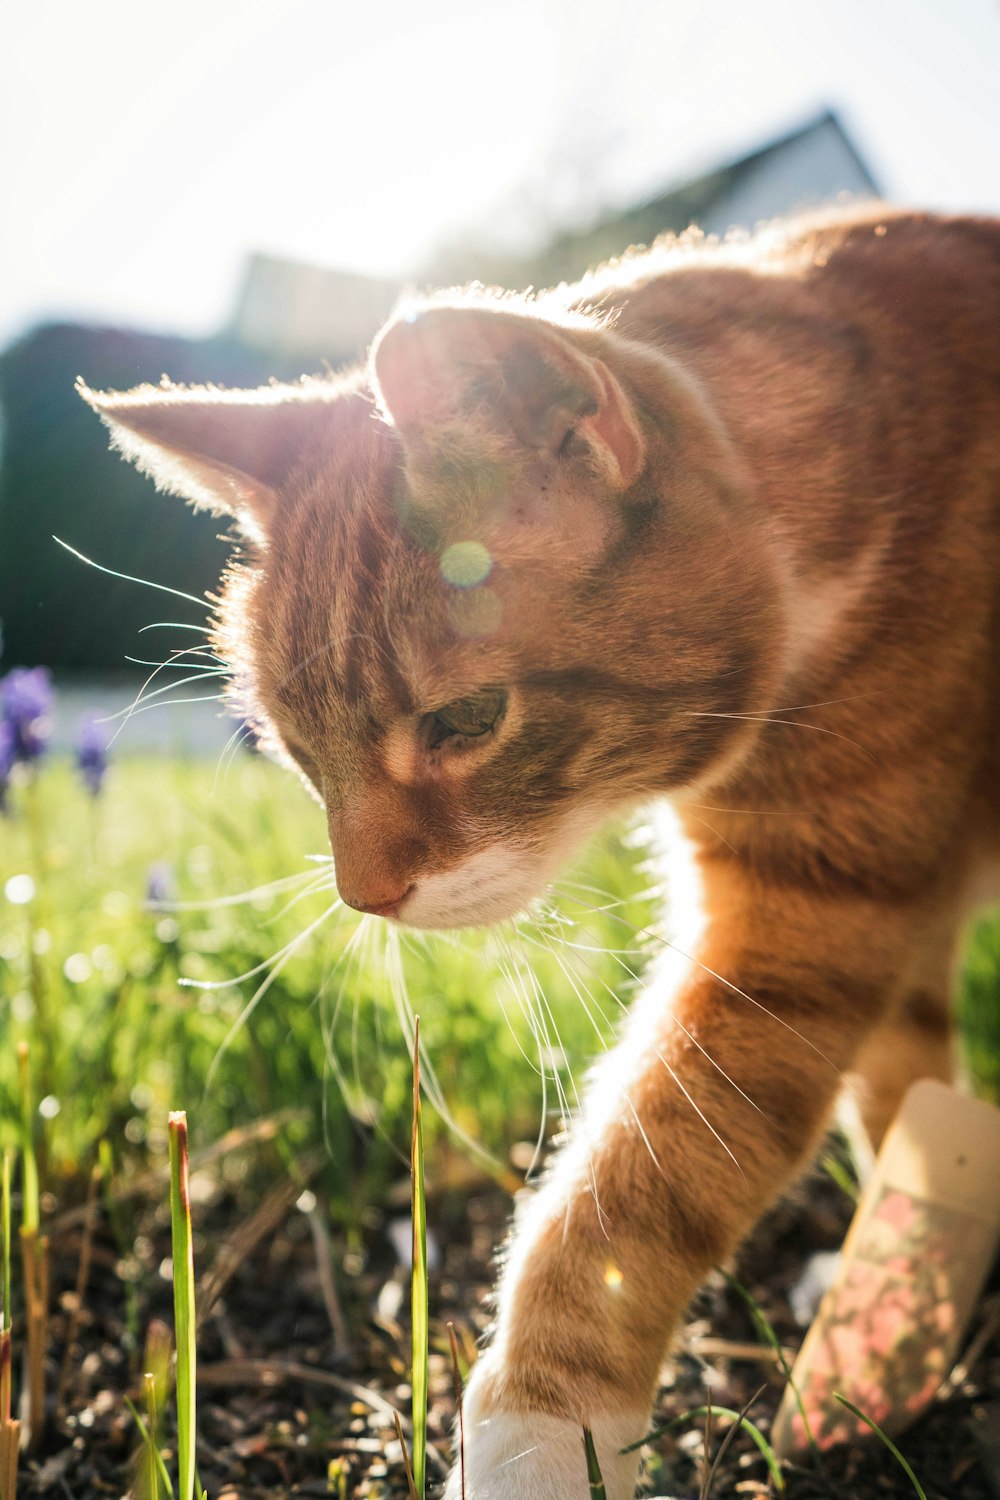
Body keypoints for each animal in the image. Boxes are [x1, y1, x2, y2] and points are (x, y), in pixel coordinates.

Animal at [83, 211, 1000, 1500]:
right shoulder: (887, 902)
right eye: (292, 746)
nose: (364, 896)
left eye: (466, 722)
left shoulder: (804, 921)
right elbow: (901, 1092)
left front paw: (535, 1430)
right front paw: (905, 1298)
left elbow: (647, 1172)